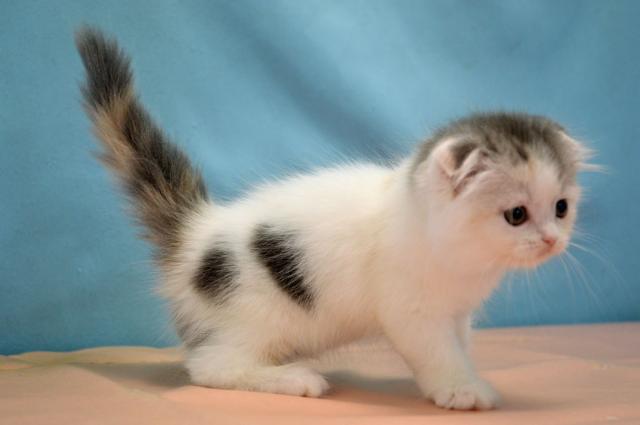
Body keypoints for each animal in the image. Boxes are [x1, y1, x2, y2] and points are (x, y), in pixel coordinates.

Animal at [75, 27, 594, 410]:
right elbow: (436, 351)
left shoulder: (458, 311)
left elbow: (460, 344)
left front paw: (465, 376)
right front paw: (461, 388)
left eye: (561, 208)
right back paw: (292, 379)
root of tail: (194, 232)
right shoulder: (410, 309)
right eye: (516, 215)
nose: (552, 240)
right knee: (208, 366)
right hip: (255, 314)